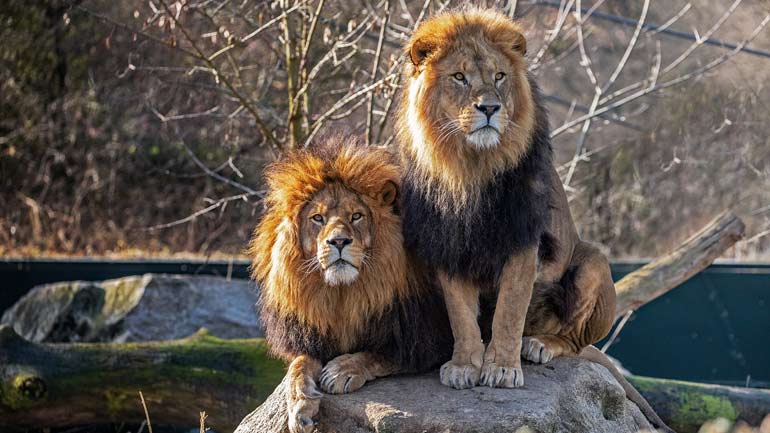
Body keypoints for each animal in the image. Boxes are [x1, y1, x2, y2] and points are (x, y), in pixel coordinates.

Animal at [248, 138, 450, 432]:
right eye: (317, 218)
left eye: (356, 216)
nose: (339, 241)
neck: (345, 295)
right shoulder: (311, 337)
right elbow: (298, 365)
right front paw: (299, 405)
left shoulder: (428, 339)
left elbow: (379, 355)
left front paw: (342, 370)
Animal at [400, 8, 668, 430]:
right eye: (459, 77)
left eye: (499, 76)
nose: (489, 109)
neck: (470, 167)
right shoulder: (448, 244)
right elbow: (461, 315)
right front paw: (465, 365)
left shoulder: (523, 241)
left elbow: (509, 312)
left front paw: (502, 368)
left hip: (593, 262)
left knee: (575, 342)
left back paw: (540, 344)